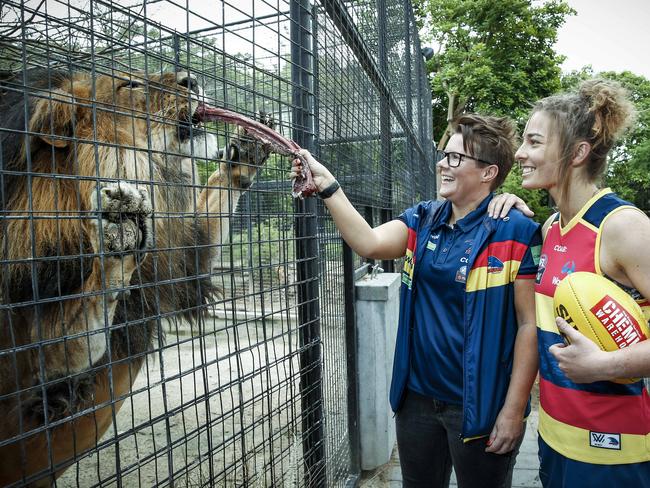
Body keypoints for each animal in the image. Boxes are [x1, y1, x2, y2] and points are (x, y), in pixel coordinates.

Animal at [0, 67, 274, 484]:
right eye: (128, 84)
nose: (191, 80)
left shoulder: (179, 264)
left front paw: (245, 153)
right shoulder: (39, 360)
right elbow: (76, 328)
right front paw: (121, 226)